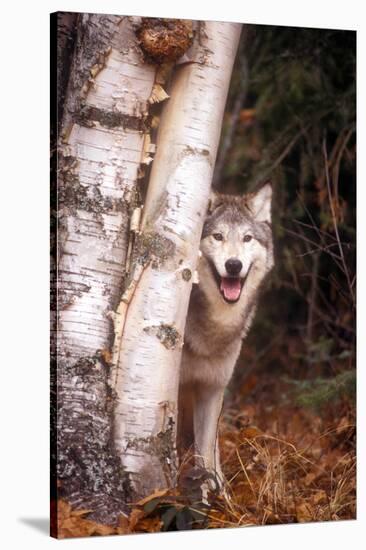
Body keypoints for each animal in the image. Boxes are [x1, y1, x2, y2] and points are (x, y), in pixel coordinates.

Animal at [177, 183, 274, 490]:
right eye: (218, 236)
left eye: (247, 238)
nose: (233, 265)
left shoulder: (213, 388)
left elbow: (207, 450)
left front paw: (216, 493)